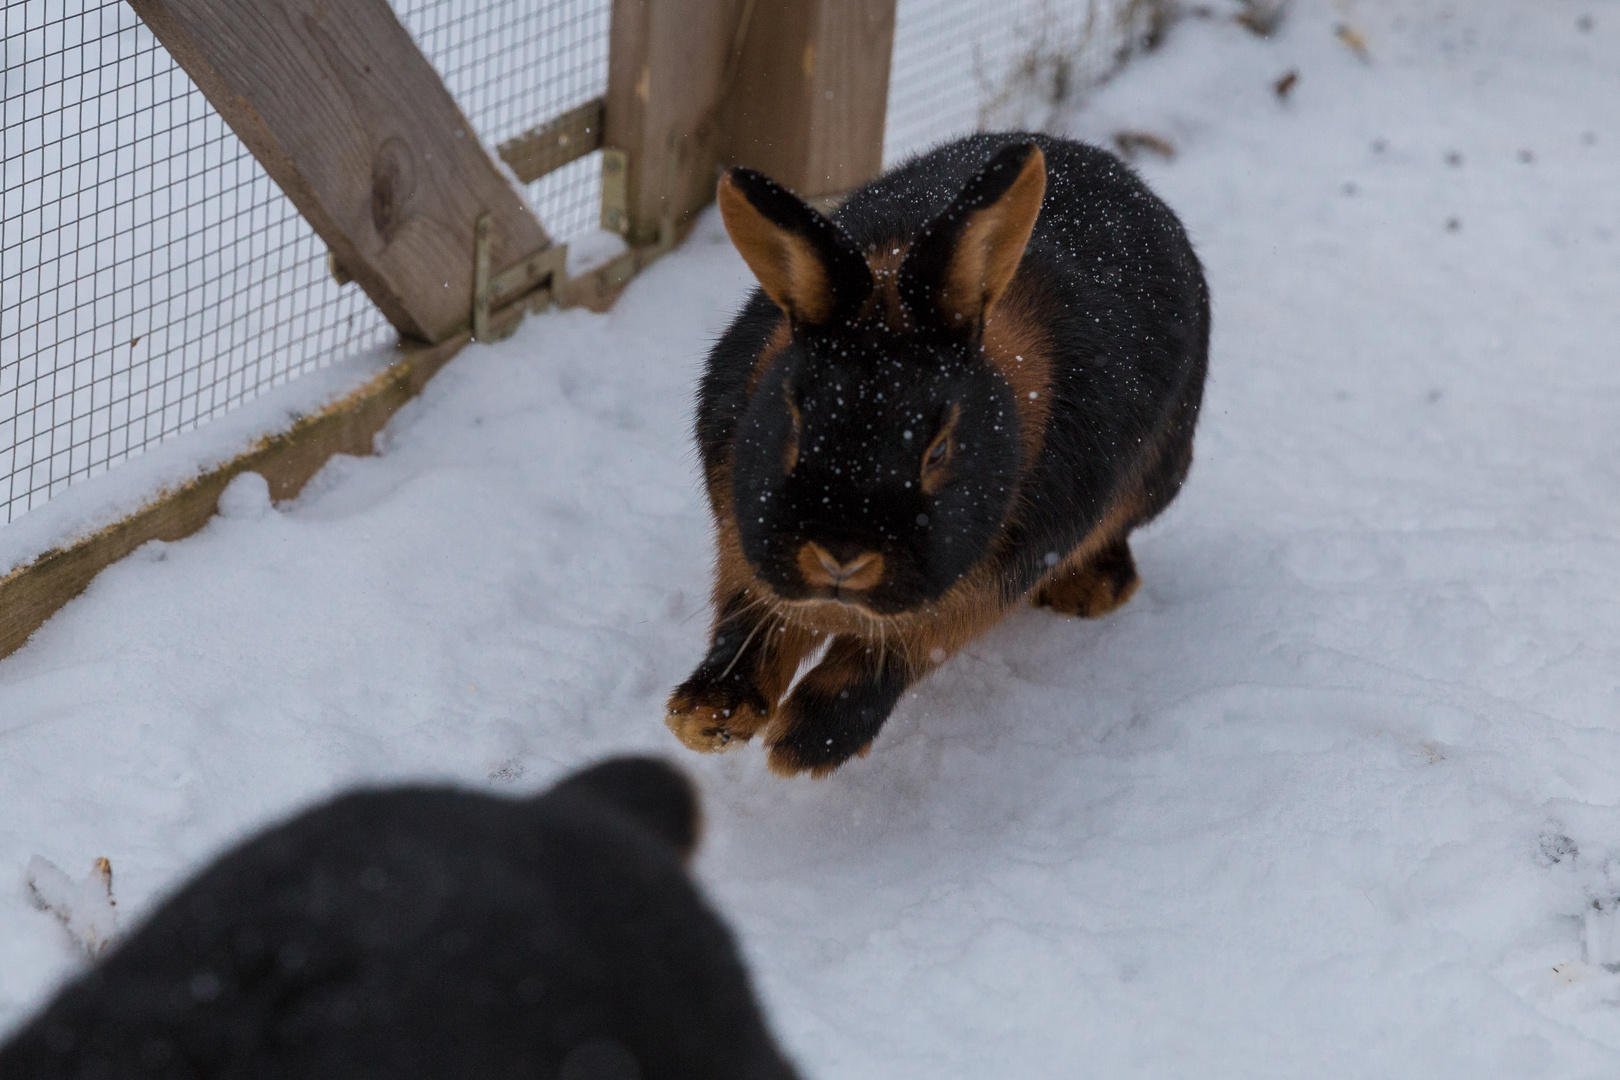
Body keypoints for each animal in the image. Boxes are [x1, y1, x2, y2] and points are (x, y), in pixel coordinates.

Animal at [664, 131, 1211, 777]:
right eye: (794, 421)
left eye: (939, 449)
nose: (841, 555)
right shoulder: (742, 543)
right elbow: (752, 620)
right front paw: (707, 717)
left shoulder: (991, 580)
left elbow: (900, 651)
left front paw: (805, 744)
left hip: (1158, 481)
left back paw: (1092, 593)